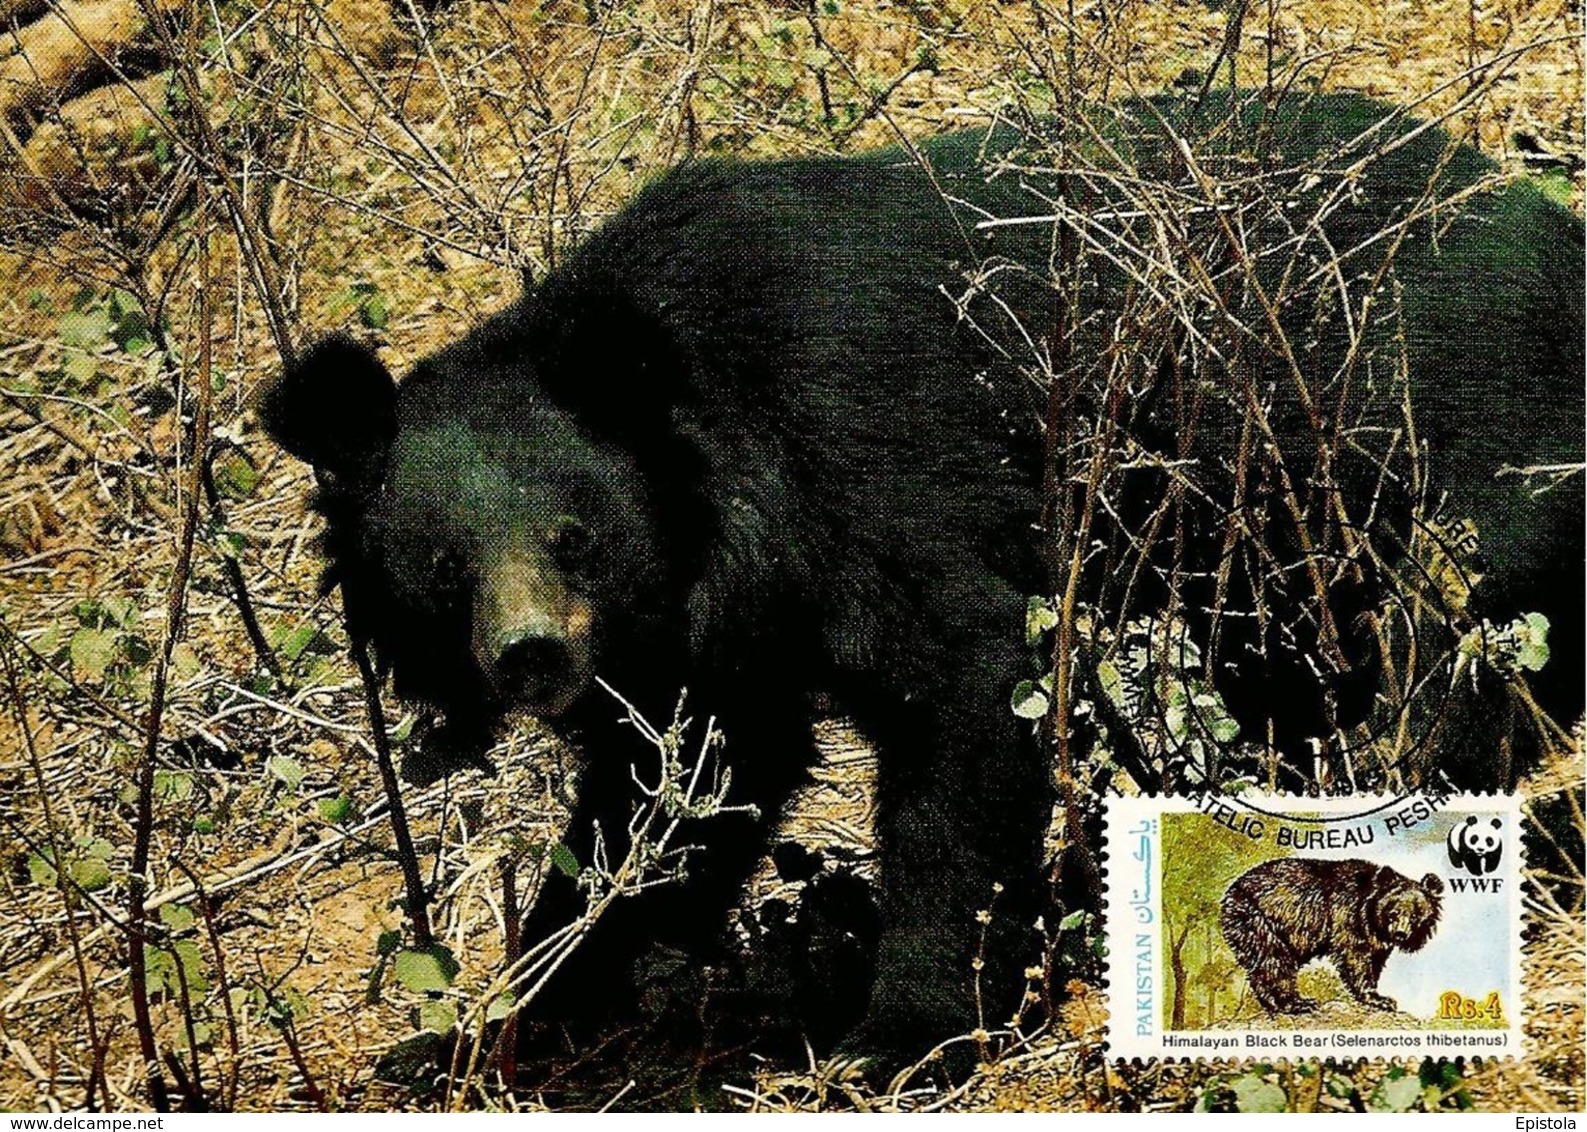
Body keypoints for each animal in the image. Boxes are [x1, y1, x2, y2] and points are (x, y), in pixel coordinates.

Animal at [1218, 857, 1447, 1016]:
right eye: (1393, 912)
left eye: (1416, 916)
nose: (1400, 934)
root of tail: (1230, 892)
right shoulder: (1345, 916)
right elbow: (1355, 957)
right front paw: (1379, 999)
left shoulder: (1377, 940)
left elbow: (1374, 960)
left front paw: (1380, 995)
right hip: (1259, 920)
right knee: (1274, 961)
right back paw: (1297, 1003)